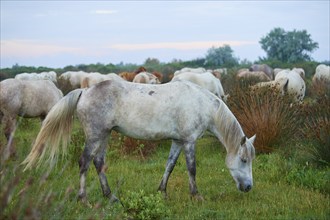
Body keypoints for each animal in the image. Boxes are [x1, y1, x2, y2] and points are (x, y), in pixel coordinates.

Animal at [23, 79, 256, 203]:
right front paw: (196, 196)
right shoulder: (189, 142)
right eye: (244, 160)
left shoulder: (177, 141)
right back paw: (84, 199)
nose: (248, 187)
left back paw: (110, 197)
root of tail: (85, 91)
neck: (201, 104)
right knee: (85, 162)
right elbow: (192, 168)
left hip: (105, 136)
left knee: (98, 163)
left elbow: (170, 165)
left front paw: (162, 192)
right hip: (95, 136)